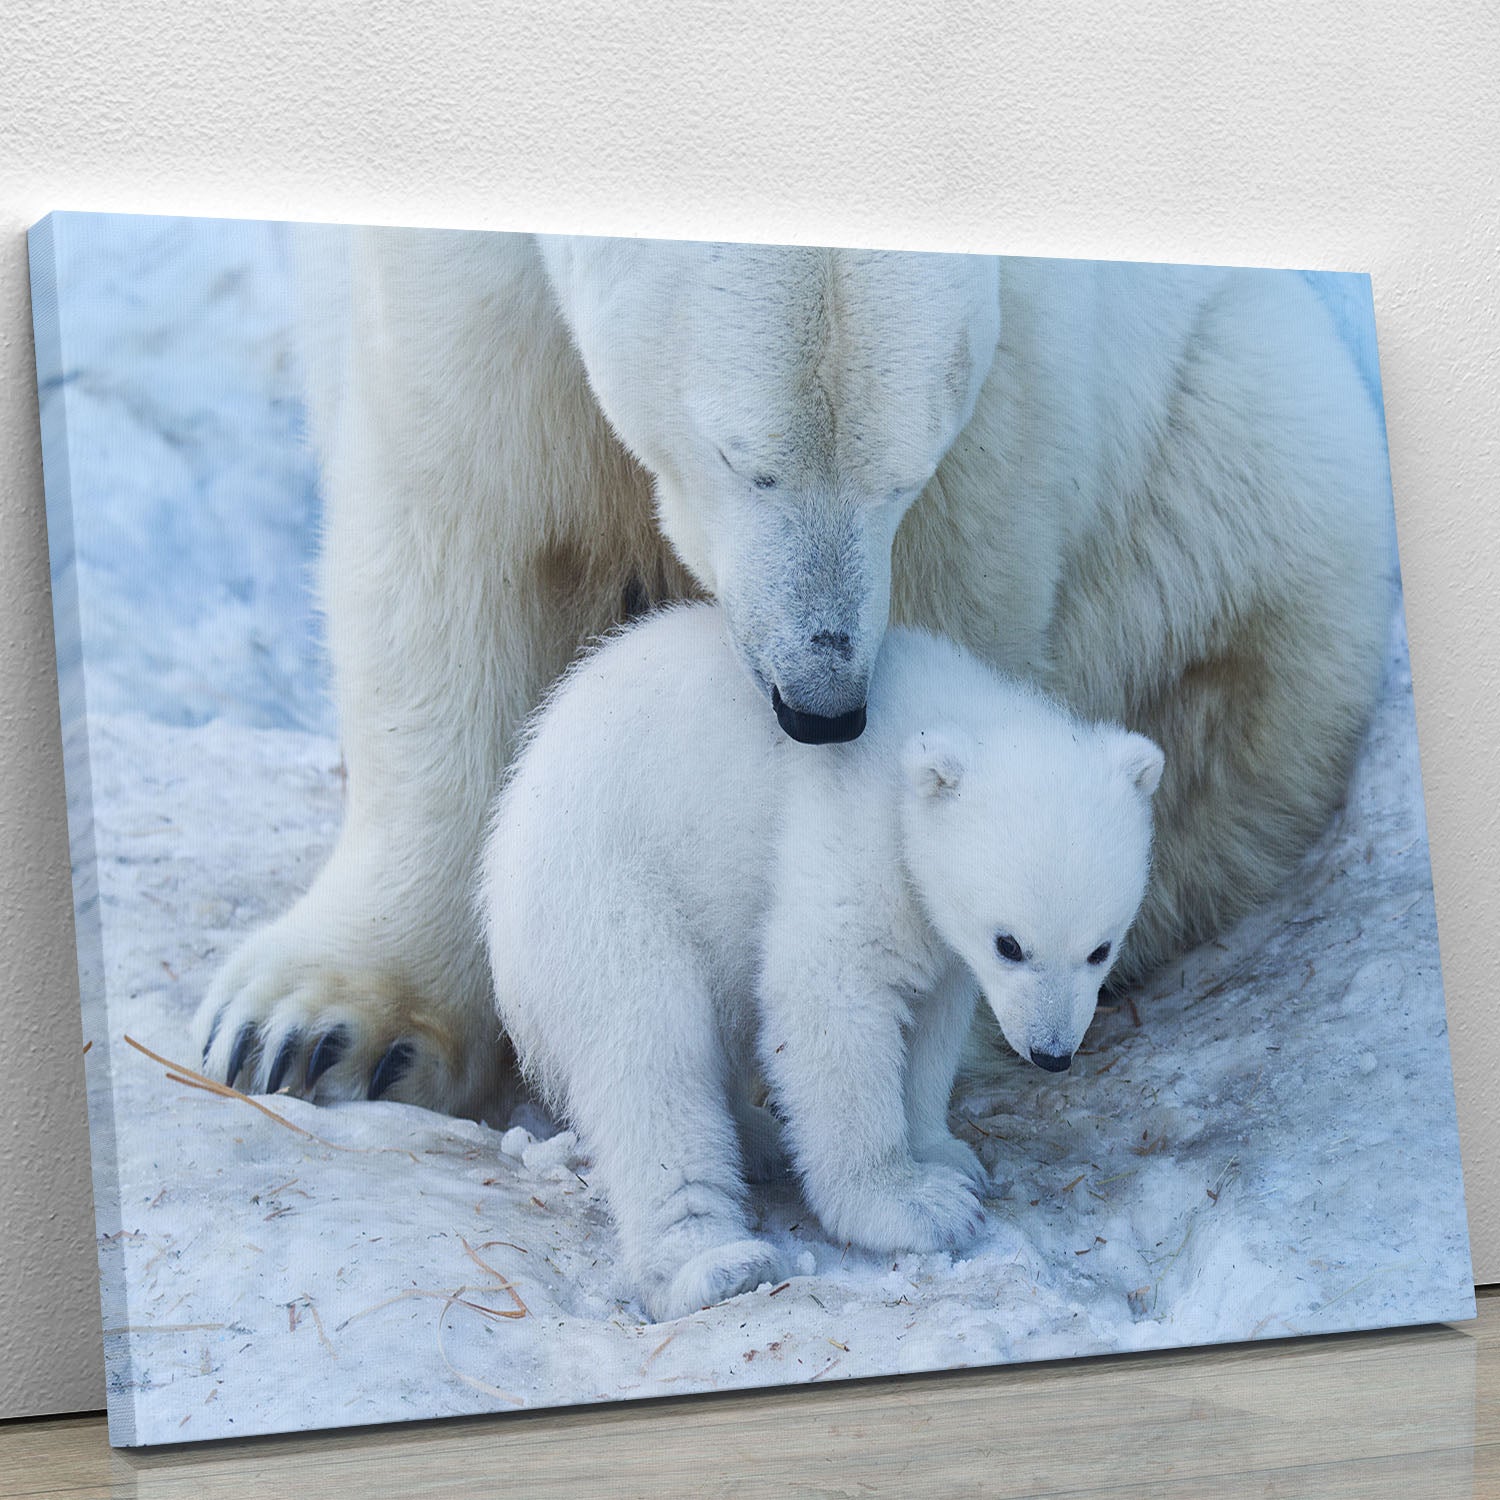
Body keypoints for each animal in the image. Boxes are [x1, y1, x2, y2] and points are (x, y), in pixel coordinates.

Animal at [194, 229, 1392, 1123]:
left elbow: (966, 591)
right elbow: (455, 518)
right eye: (743, 457)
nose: (820, 706)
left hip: (1234, 454)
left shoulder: (1019, 376)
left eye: (903, 470)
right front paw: (319, 1029)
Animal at [480, 602, 1165, 1322]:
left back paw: (758, 1140)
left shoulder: (938, 929)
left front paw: (948, 1156)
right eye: (1010, 943)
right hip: (605, 893)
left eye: (1099, 948)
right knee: (652, 1058)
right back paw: (716, 1262)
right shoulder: (849, 825)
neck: (929, 720)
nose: (1052, 1053)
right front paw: (915, 1205)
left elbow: (932, 1020)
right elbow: (830, 995)